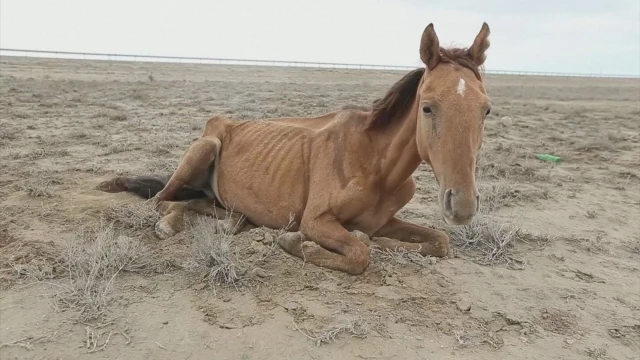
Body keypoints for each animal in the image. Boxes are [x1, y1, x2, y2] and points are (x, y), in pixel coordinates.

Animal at [99, 21, 490, 276]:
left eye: (486, 109)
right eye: (427, 107)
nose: (463, 205)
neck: (375, 163)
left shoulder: (385, 221)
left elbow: (438, 241)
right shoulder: (316, 220)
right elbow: (359, 253)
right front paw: (293, 242)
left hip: (219, 198)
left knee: (212, 209)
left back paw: (227, 223)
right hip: (203, 149)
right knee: (161, 199)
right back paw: (168, 223)